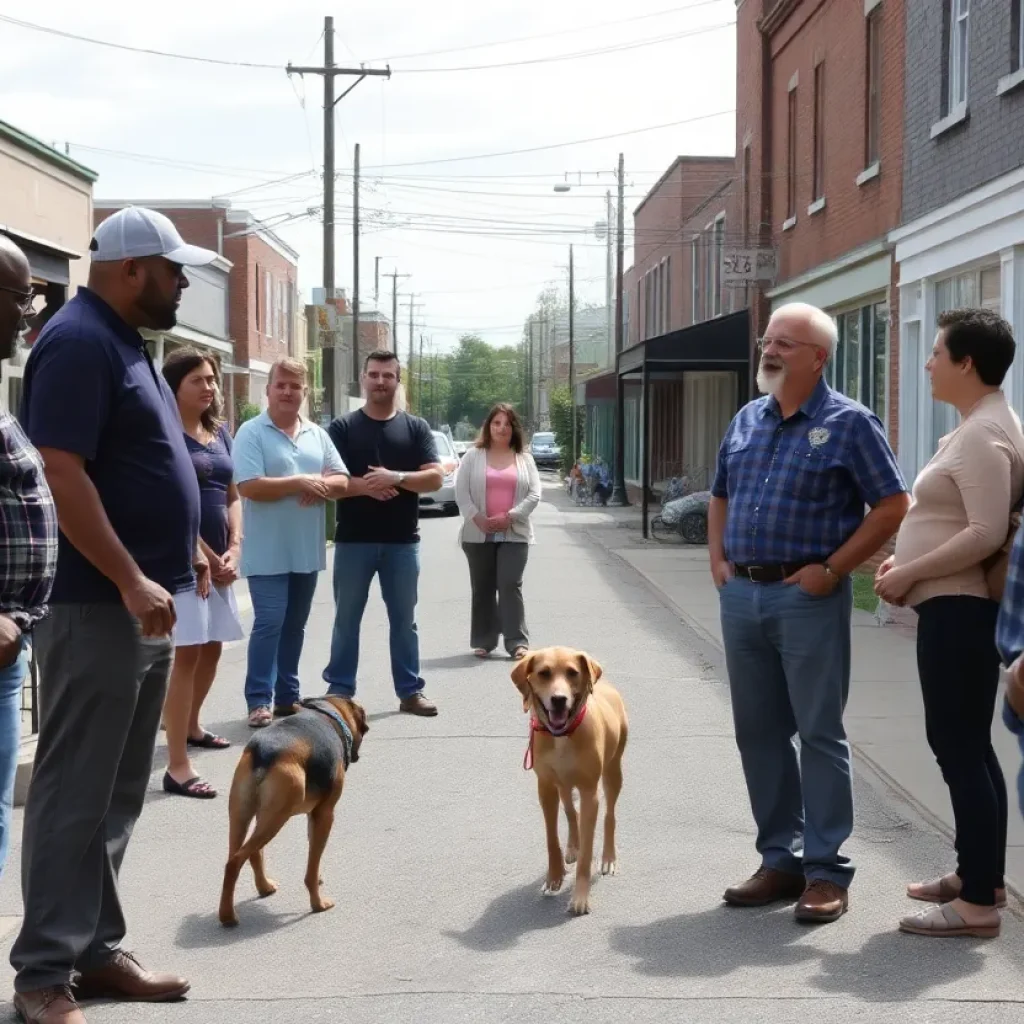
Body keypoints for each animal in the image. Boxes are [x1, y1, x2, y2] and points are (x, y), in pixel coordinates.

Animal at [218, 696, 370, 929]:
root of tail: (264, 752)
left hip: (242, 815)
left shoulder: (313, 816)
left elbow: (313, 857)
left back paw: (262, 888)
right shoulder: (325, 814)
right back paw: (228, 916)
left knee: (243, 854)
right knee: (237, 861)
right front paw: (318, 903)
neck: (326, 713)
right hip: (276, 817)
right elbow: (311, 868)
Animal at [509, 643, 622, 917]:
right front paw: (554, 876)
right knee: (571, 811)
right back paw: (573, 846)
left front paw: (580, 897)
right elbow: (552, 838)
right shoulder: (546, 787)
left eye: (572, 672)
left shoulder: (590, 792)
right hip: (563, 783)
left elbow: (587, 851)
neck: (562, 735)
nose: (558, 699)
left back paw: (608, 858)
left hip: (613, 770)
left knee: (609, 814)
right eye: (544, 673)